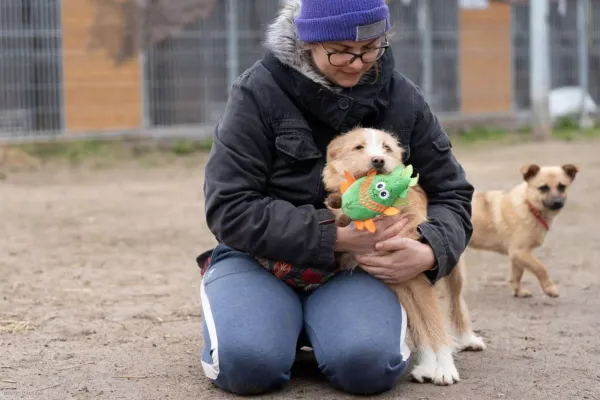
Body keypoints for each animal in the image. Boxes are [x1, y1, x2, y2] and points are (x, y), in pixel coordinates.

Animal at [322, 127, 486, 384]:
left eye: (386, 148)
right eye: (358, 147)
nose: (378, 160)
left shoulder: (415, 270)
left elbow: (434, 324)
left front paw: (444, 368)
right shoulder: (398, 279)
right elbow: (419, 327)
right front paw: (427, 366)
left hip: (453, 268)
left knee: (457, 301)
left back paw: (468, 338)